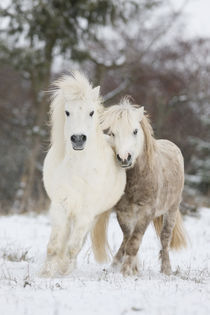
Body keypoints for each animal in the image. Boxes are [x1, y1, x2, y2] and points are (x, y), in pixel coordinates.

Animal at [41, 71, 125, 276]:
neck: (78, 168)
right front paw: (45, 273)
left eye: (91, 112)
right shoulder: (60, 205)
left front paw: (64, 270)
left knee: (77, 243)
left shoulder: (86, 212)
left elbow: (73, 247)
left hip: (90, 216)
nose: (78, 139)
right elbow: (54, 246)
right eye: (67, 112)